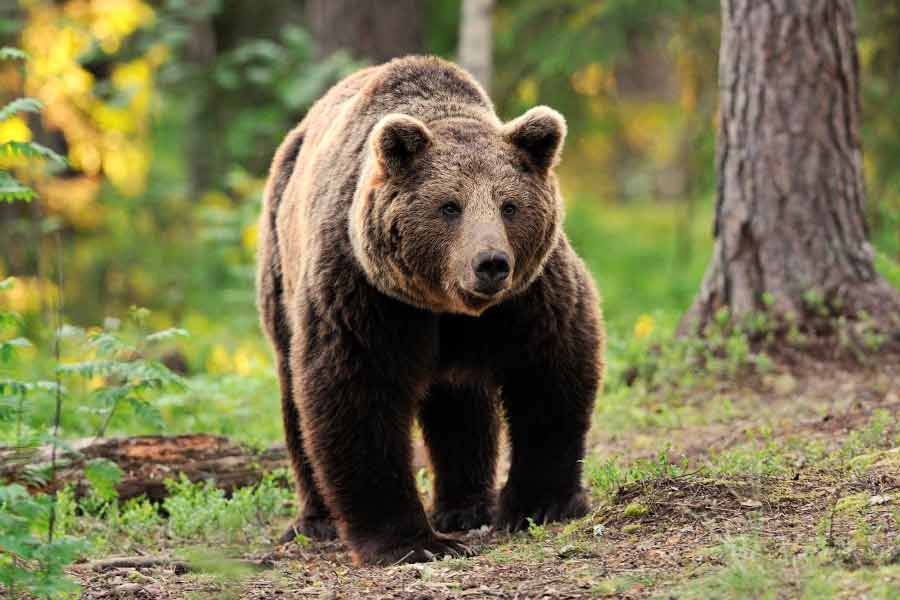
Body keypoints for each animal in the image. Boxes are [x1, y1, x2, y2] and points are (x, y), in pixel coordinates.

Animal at [256, 56, 604, 566]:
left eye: (509, 205)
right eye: (449, 206)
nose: (490, 263)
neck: (444, 304)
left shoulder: (528, 297)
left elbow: (550, 372)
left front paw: (540, 504)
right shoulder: (366, 295)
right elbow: (355, 395)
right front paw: (409, 540)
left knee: (460, 401)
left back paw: (465, 506)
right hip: (281, 268)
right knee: (294, 398)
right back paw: (317, 519)